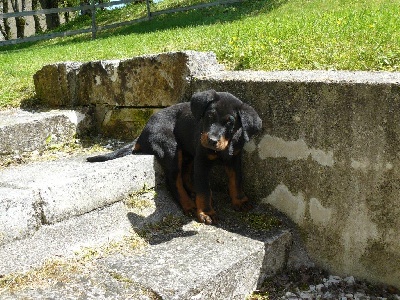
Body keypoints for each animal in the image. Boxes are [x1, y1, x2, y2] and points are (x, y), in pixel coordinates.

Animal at [86, 90, 262, 224]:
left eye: (230, 123)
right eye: (209, 117)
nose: (211, 140)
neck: (224, 149)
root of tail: (141, 135)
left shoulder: (234, 159)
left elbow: (236, 181)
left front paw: (240, 201)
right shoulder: (201, 160)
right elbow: (204, 190)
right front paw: (206, 212)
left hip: (187, 153)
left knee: (185, 176)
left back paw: (192, 192)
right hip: (170, 147)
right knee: (174, 180)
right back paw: (189, 204)